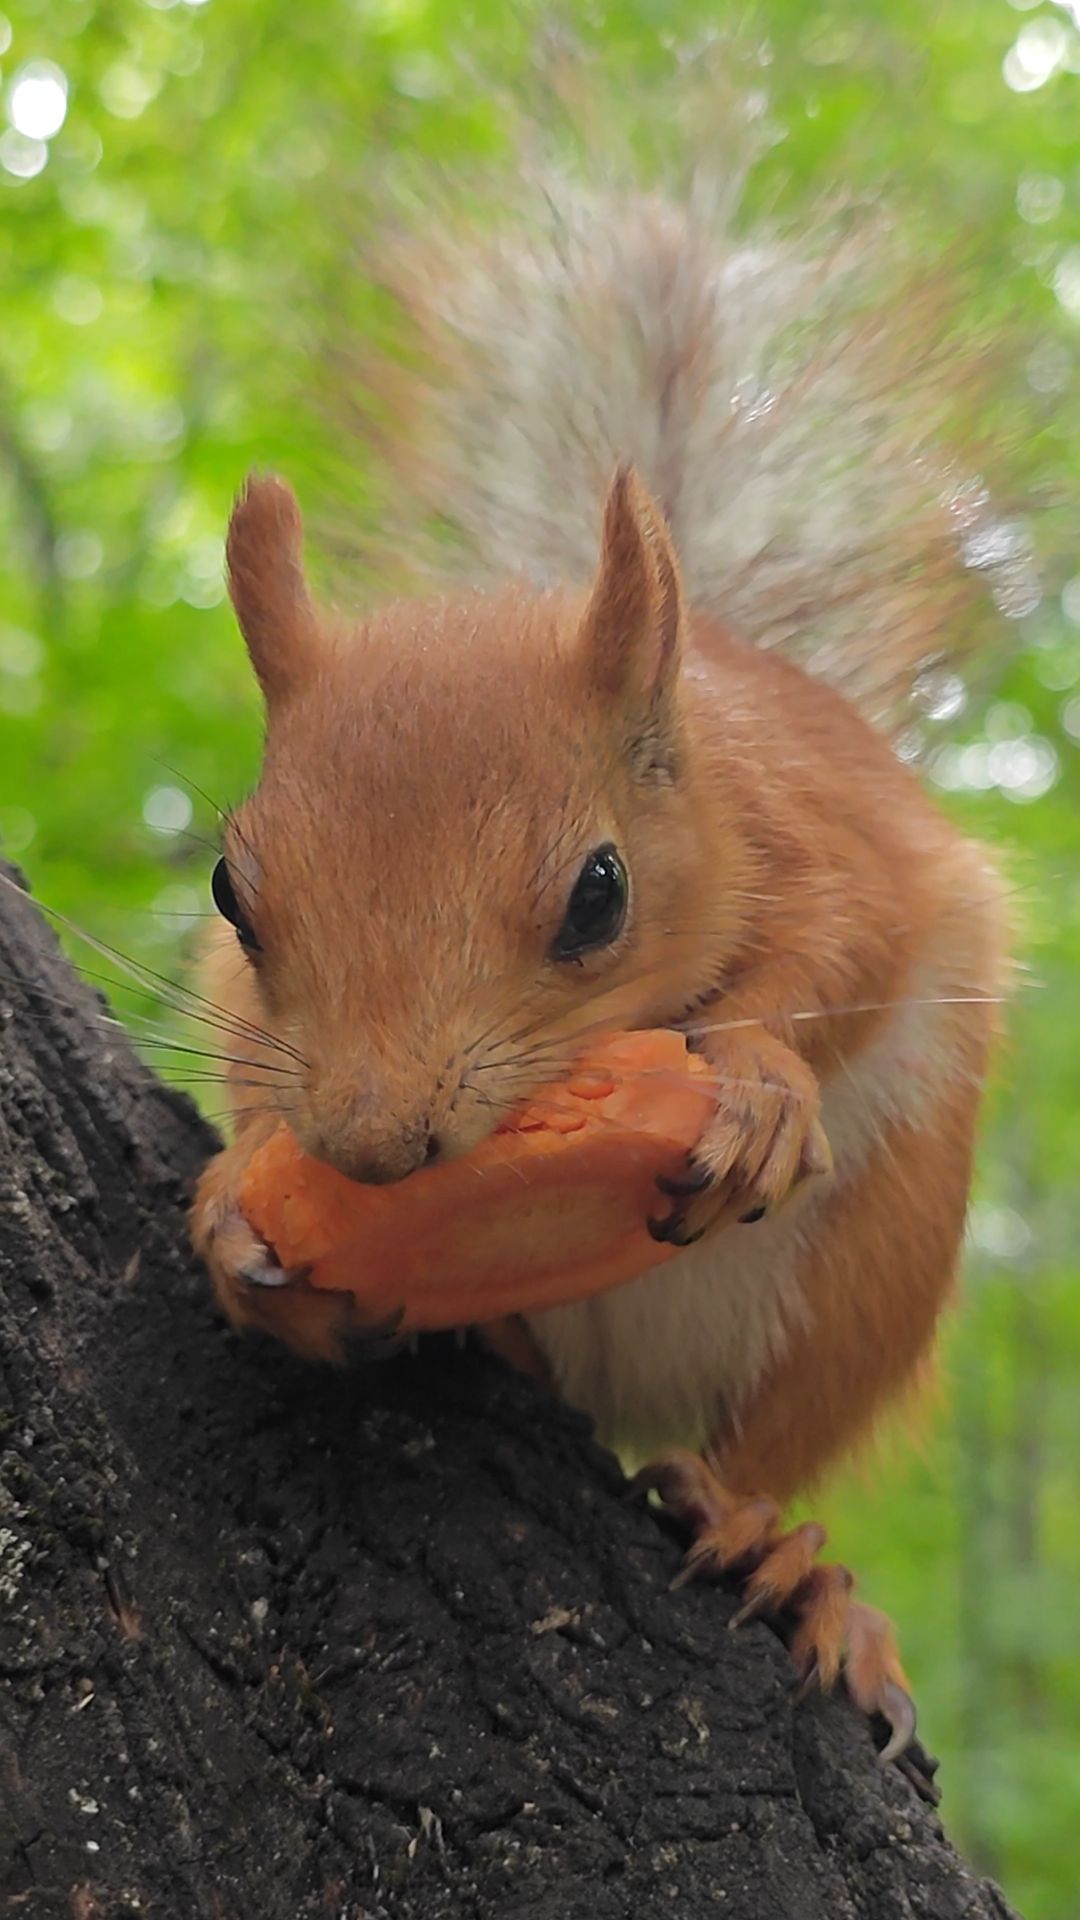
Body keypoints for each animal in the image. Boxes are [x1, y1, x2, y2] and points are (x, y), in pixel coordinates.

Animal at [191, 174, 1023, 1769]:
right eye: (230, 892)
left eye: (599, 896)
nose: (372, 1148)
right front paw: (232, 1217)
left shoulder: (835, 844)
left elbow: (838, 951)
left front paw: (756, 1084)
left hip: (874, 1268)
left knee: (752, 1449)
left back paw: (794, 1565)